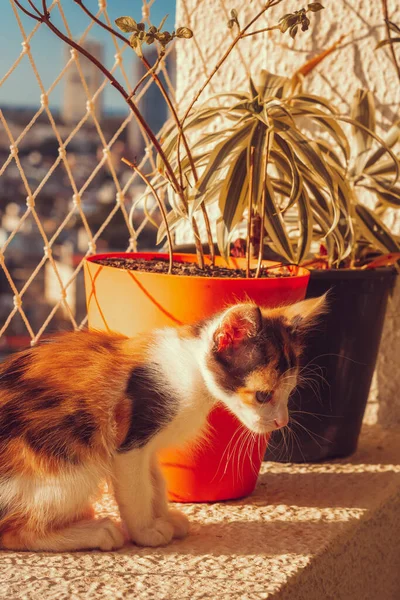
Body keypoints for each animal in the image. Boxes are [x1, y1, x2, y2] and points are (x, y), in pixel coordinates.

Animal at [0, 296, 324, 552]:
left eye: (289, 392)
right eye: (262, 395)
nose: (281, 421)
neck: (191, 368)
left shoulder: (149, 448)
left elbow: (155, 481)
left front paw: (164, 518)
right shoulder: (130, 441)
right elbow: (136, 489)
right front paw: (146, 531)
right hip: (71, 462)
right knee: (13, 531)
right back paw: (97, 532)